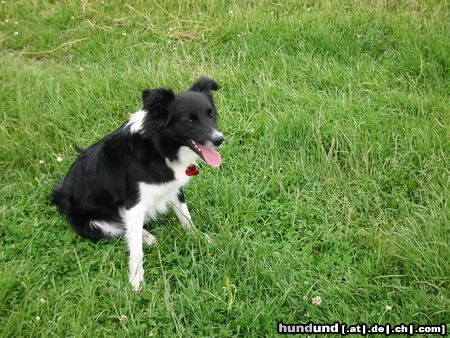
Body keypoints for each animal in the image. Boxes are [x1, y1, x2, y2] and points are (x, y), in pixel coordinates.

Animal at [52, 76, 223, 290]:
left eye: (211, 115)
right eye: (190, 121)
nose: (219, 139)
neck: (158, 149)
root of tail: (60, 195)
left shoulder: (173, 187)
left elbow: (185, 216)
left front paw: (198, 237)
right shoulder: (133, 203)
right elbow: (136, 249)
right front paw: (136, 279)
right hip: (92, 224)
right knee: (120, 229)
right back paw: (146, 237)